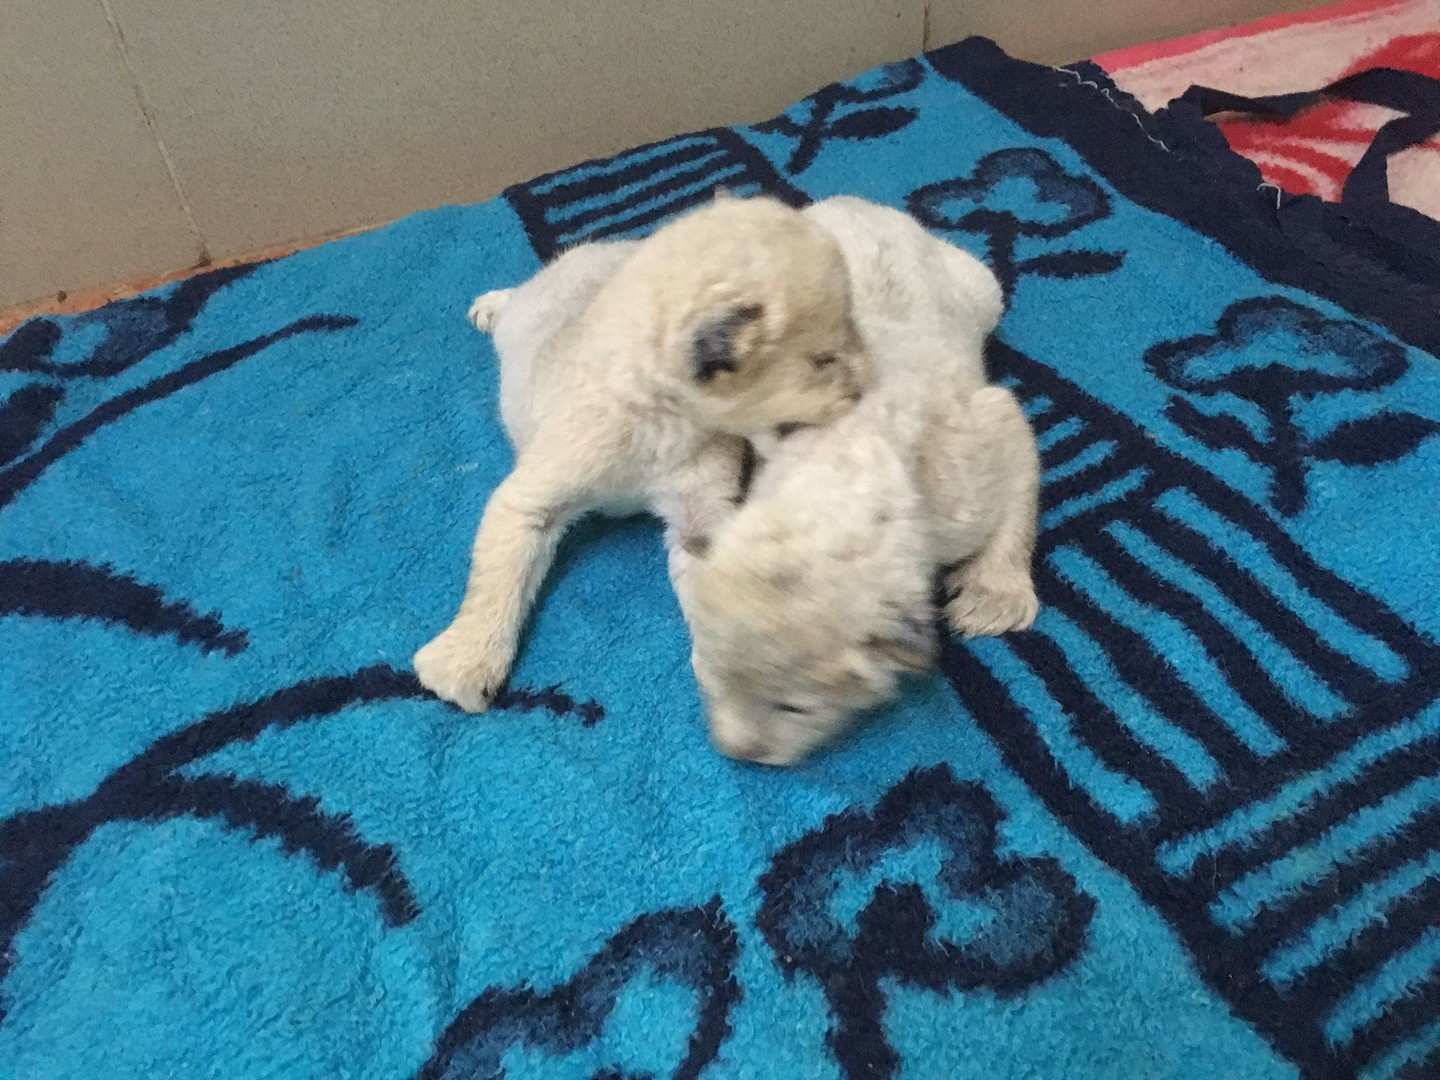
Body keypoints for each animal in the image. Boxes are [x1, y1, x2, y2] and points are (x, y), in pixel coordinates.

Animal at [414, 195, 871, 712]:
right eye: (825, 361)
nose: (864, 389)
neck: (665, 418)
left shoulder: (699, 517)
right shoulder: (531, 497)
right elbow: (497, 577)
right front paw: (466, 662)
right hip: (530, 309)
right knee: (517, 298)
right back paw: (490, 305)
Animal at [678, 196, 1040, 766]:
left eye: (794, 707)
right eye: (711, 677)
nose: (741, 752)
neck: (845, 453)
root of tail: (854, 201)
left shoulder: (966, 462)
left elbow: (1014, 446)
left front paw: (992, 597)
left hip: (974, 283)